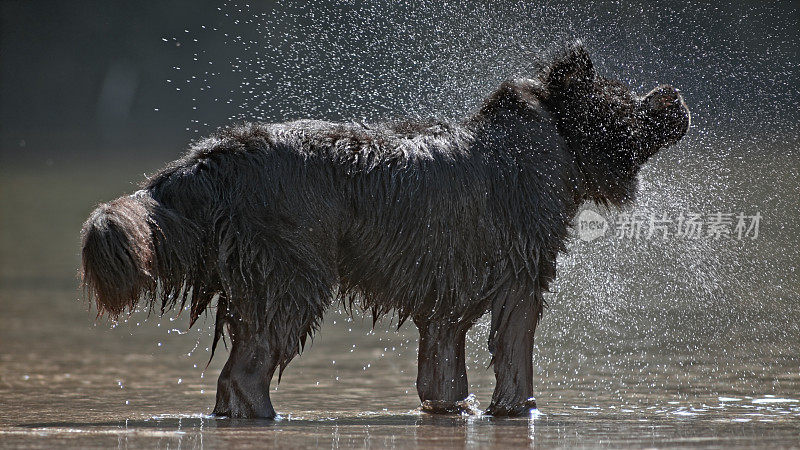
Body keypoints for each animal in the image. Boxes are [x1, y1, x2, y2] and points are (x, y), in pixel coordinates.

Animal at [84, 45, 692, 418]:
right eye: (626, 99)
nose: (675, 94)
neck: (559, 154)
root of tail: (215, 157)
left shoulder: (447, 287)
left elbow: (443, 366)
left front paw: (456, 407)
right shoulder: (522, 270)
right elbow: (514, 351)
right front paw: (517, 407)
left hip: (246, 270)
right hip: (292, 260)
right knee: (251, 363)